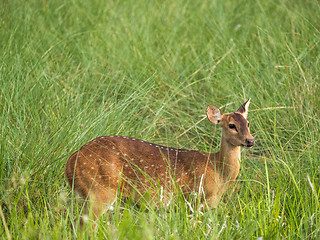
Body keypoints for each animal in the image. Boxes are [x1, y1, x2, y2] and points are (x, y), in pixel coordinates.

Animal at [65, 98, 255, 218]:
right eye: (232, 125)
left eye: (247, 123)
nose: (250, 140)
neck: (218, 171)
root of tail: (71, 162)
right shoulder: (196, 200)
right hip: (99, 190)